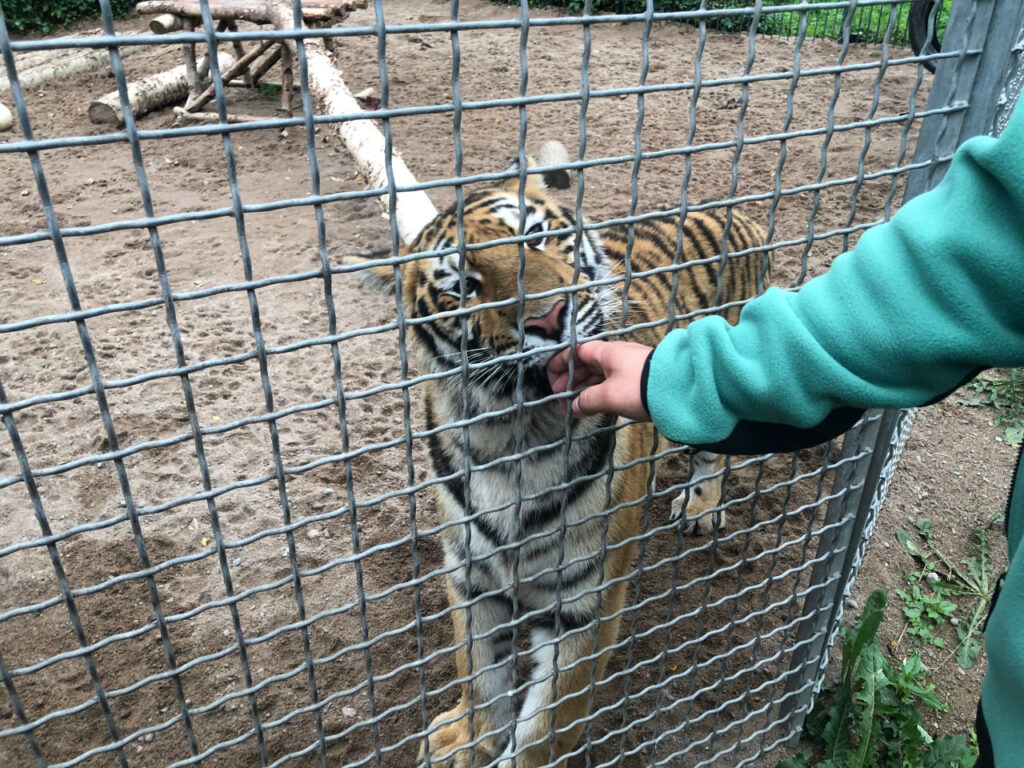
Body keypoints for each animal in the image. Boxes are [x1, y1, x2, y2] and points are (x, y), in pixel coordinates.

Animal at [350, 148, 770, 768]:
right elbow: (479, 670)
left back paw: (699, 508)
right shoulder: (471, 574)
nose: (548, 319)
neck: (510, 437)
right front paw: (468, 737)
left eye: (537, 237)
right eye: (463, 288)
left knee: (712, 457)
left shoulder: (585, 600)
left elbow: (547, 723)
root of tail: (741, 215)